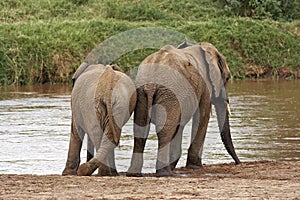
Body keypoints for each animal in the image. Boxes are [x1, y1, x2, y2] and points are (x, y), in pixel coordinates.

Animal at [127, 41, 240, 177]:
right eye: (227, 78)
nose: (238, 163)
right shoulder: (205, 85)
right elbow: (202, 116)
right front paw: (195, 166)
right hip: (169, 93)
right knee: (164, 131)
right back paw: (165, 173)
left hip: (143, 91)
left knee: (140, 129)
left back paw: (133, 174)